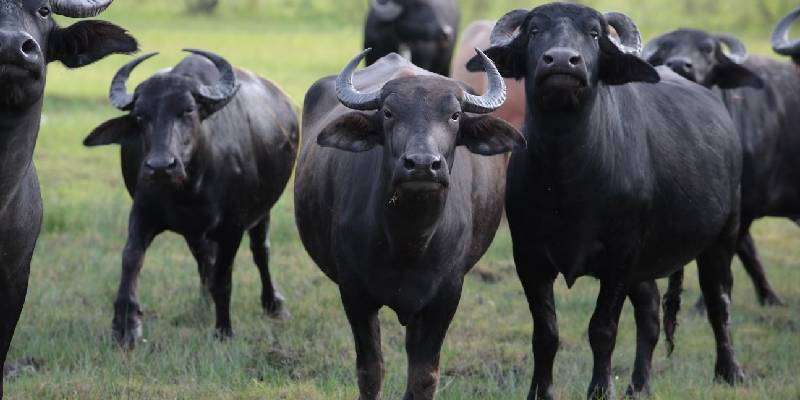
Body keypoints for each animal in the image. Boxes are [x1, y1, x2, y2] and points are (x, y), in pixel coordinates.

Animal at [84, 50, 299, 347]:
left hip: (262, 210)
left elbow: (224, 277)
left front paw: (224, 330)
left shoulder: (233, 226)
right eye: (140, 116)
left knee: (260, 251)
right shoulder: (142, 213)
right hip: (195, 232)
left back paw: (273, 304)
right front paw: (125, 326)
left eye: (187, 109)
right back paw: (203, 305)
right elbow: (131, 259)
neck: (191, 187)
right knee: (204, 259)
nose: (161, 166)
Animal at [295, 50, 523, 399]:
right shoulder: (354, 292)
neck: (408, 240)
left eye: (454, 115)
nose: (422, 165)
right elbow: (370, 371)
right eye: (389, 113)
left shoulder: (445, 297)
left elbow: (423, 376)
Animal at [469, 4, 744, 399]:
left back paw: (729, 371)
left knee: (719, 302)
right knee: (650, 314)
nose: (562, 61)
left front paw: (600, 390)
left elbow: (602, 330)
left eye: (594, 33)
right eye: (534, 30)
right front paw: (541, 391)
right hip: (646, 264)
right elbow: (546, 333)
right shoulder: (530, 257)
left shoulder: (620, 255)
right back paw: (639, 385)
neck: (566, 179)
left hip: (723, 236)